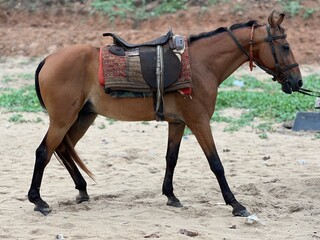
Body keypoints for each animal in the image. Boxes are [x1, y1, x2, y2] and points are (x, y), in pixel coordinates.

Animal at [27, 11, 302, 217]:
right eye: (285, 46)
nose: (298, 82)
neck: (201, 65)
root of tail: (48, 59)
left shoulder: (178, 123)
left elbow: (172, 158)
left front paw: (171, 195)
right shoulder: (199, 122)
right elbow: (216, 164)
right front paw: (235, 204)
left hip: (83, 117)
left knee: (63, 149)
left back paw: (82, 190)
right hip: (63, 119)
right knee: (43, 152)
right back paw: (38, 201)